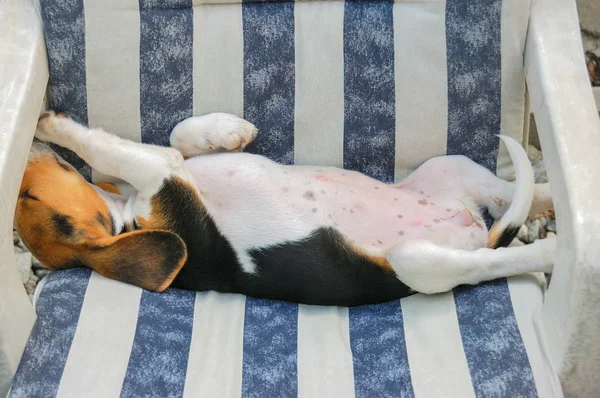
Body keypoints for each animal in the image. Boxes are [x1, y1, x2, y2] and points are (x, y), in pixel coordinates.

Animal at [12, 112, 552, 308]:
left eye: (24, 197)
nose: (25, 147)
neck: (125, 216)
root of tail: (468, 225)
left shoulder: (162, 170)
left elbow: (176, 135)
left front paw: (227, 130)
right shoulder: (159, 174)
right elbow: (112, 149)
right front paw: (53, 123)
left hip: (451, 167)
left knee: (513, 193)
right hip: (419, 261)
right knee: (489, 261)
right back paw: (549, 250)